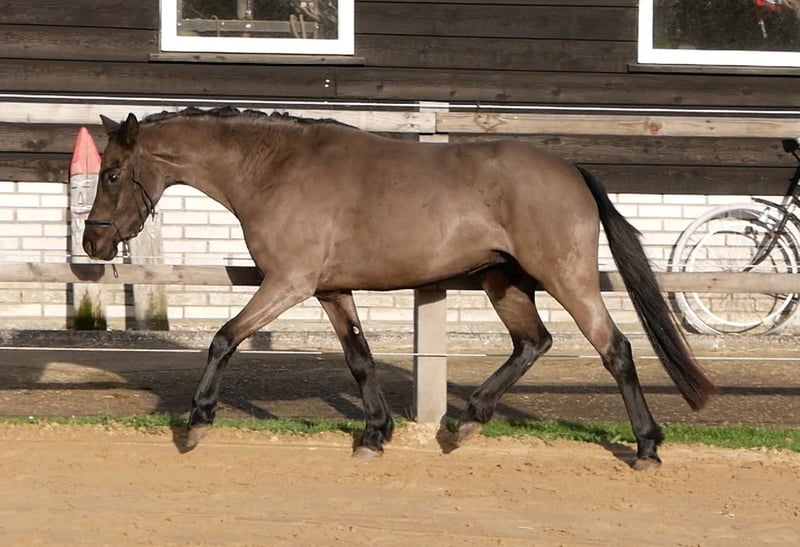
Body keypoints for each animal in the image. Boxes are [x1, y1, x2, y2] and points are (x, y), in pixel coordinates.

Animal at [84, 106, 715, 469]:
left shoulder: (289, 282)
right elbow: (359, 358)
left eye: (112, 173)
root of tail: (571, 172)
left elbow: (223, 339)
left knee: (615, 349)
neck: (276, 169)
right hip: (503, 281)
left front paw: (196, 423)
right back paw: (466, 421)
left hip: (566, 277)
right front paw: (374, 434)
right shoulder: (329, 290)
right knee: (533, 343)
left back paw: (647, 448)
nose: (92, 243)